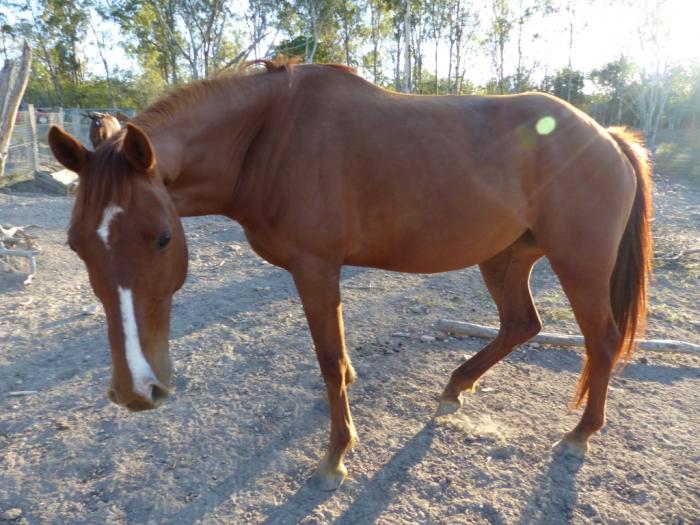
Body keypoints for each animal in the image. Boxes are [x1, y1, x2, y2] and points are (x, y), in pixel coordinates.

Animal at [48, 60, 652, 491]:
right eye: (76, 244)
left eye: (162, 238)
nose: (135, 390)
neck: (267, 137)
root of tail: (606, 136)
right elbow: (337, 357)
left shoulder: (315, 270)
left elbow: (329, 360)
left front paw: (335, 455)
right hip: (506, 258)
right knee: (520, 325)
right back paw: (455, 388)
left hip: (579, 266)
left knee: (600, 341)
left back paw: (580, 434)